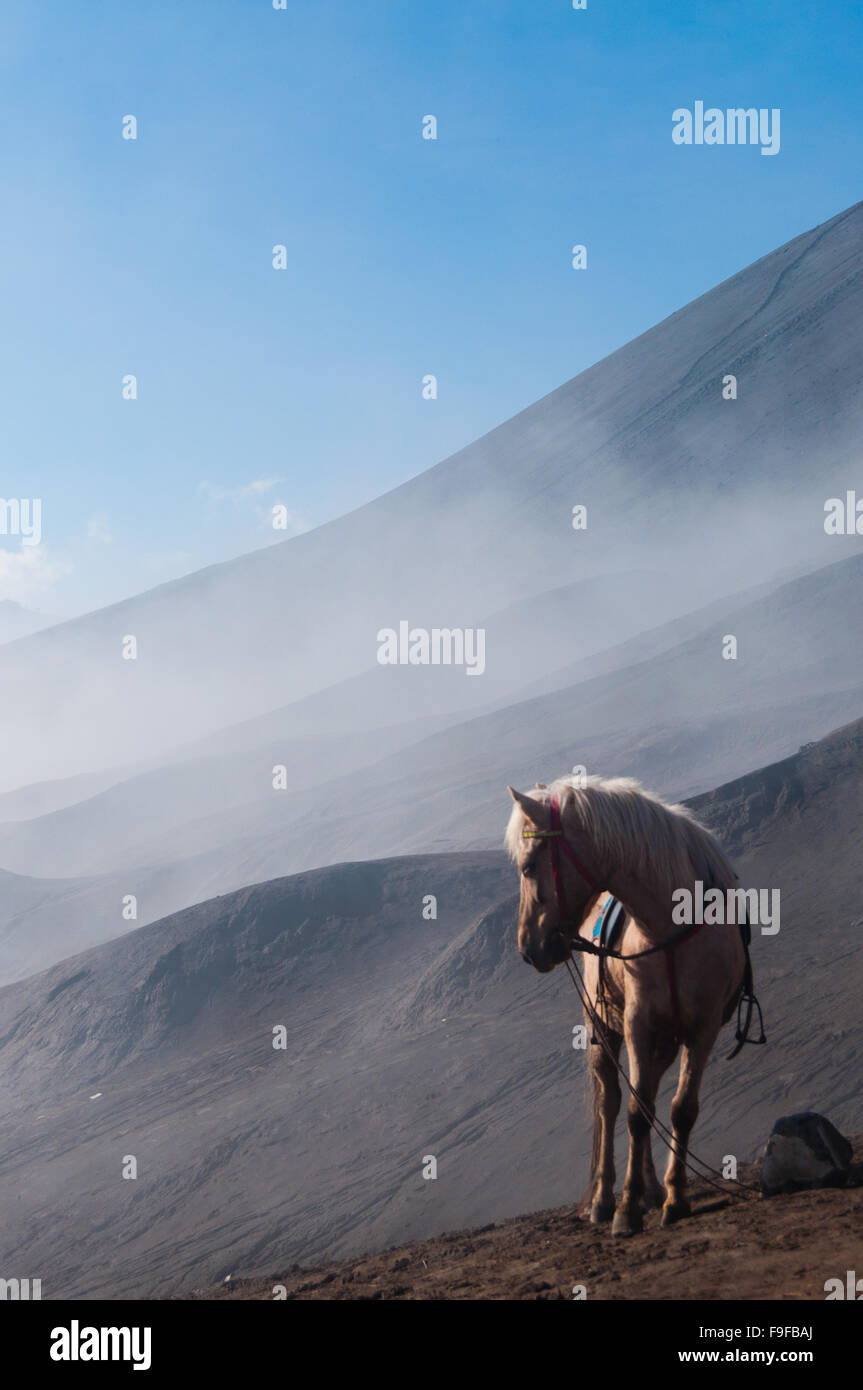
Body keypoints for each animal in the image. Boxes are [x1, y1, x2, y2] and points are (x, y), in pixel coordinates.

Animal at [505, 772, 744, 1239]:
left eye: (528, 867)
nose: (528, 948)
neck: (669, 931)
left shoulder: (702, 1030)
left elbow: (680, 1110)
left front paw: (674, 1198)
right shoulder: (637, 1025)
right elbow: (634, 1112)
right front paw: (626, 1209)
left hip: (663, 1043)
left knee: (646, 1096)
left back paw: (652, 1190)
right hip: (604, 1030)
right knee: (612, 1101)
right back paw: (604, 1199)